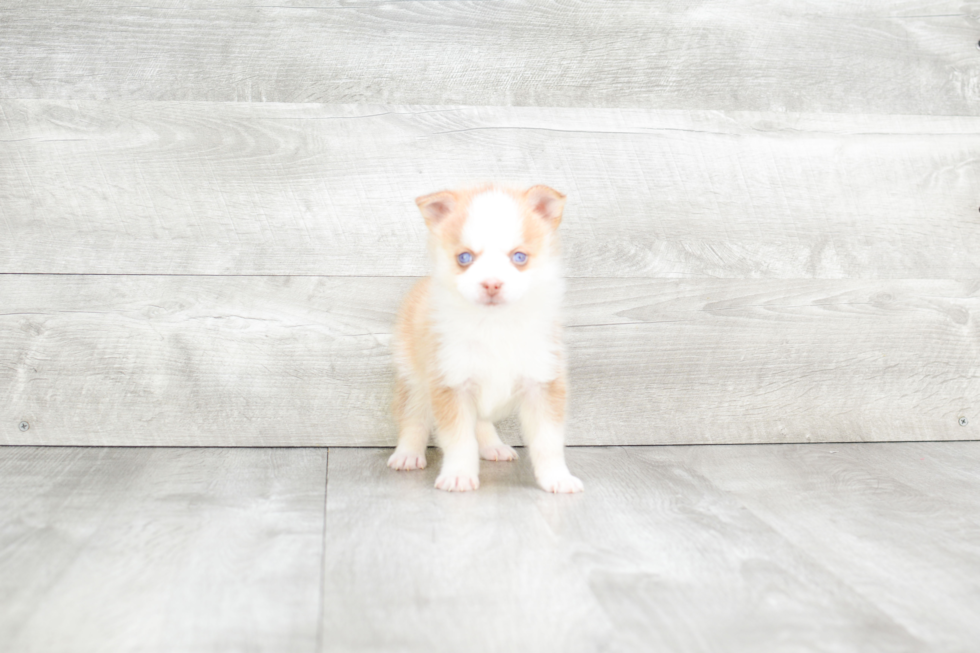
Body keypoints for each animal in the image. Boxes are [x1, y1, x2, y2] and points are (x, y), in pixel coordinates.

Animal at [384, 181, 580, 492]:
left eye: (519, 257)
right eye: (465, 258)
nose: (491, 283)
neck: (494, 325)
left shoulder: (543, 383)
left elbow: (548, 441)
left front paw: (557, 477)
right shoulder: (451, 382)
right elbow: (459, 439)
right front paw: (459, 475)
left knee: (481, 421)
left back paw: (493, 446)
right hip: (414, 378)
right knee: (413, 417)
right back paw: (407, 454)